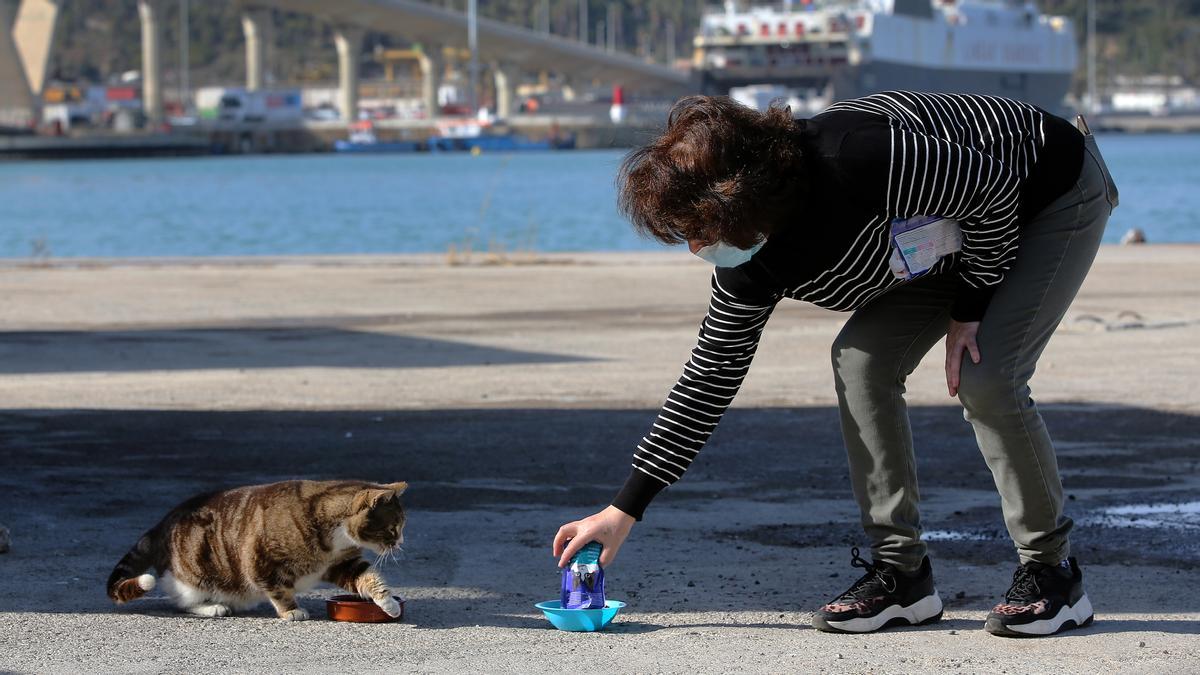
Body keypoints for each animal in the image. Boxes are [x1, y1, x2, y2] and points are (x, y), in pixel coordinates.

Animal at [108, 475, 408, 619]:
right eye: (394, 527)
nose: (401, 542)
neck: (335, 537)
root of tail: (161, 524)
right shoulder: (260, 560)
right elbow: (277, 589)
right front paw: (290, 610)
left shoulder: (342, 562)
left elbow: (368, 577)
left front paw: (388, 603)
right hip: (193, 578)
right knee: (183, 602)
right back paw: (212, 607)